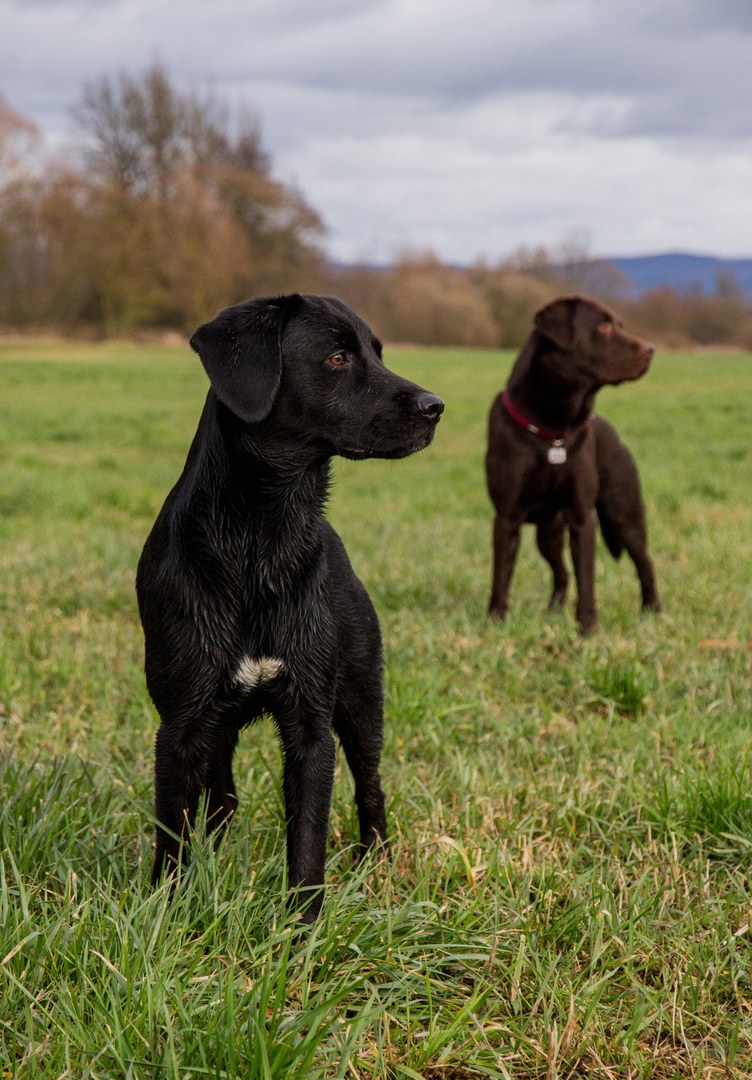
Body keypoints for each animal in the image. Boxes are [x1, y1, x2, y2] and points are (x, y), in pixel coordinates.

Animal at [136, 293, 440, 920]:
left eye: (378, 352)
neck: (263, 538)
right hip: (219, 722)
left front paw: (303, 929)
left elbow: (306, 839)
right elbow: (173, 836)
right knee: (222, 799)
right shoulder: (180, 726)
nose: (436, 406)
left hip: (361, 697)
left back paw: (376, 861)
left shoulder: (311, 725)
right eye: (337, 356)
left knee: (370, 785)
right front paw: (168, 916)